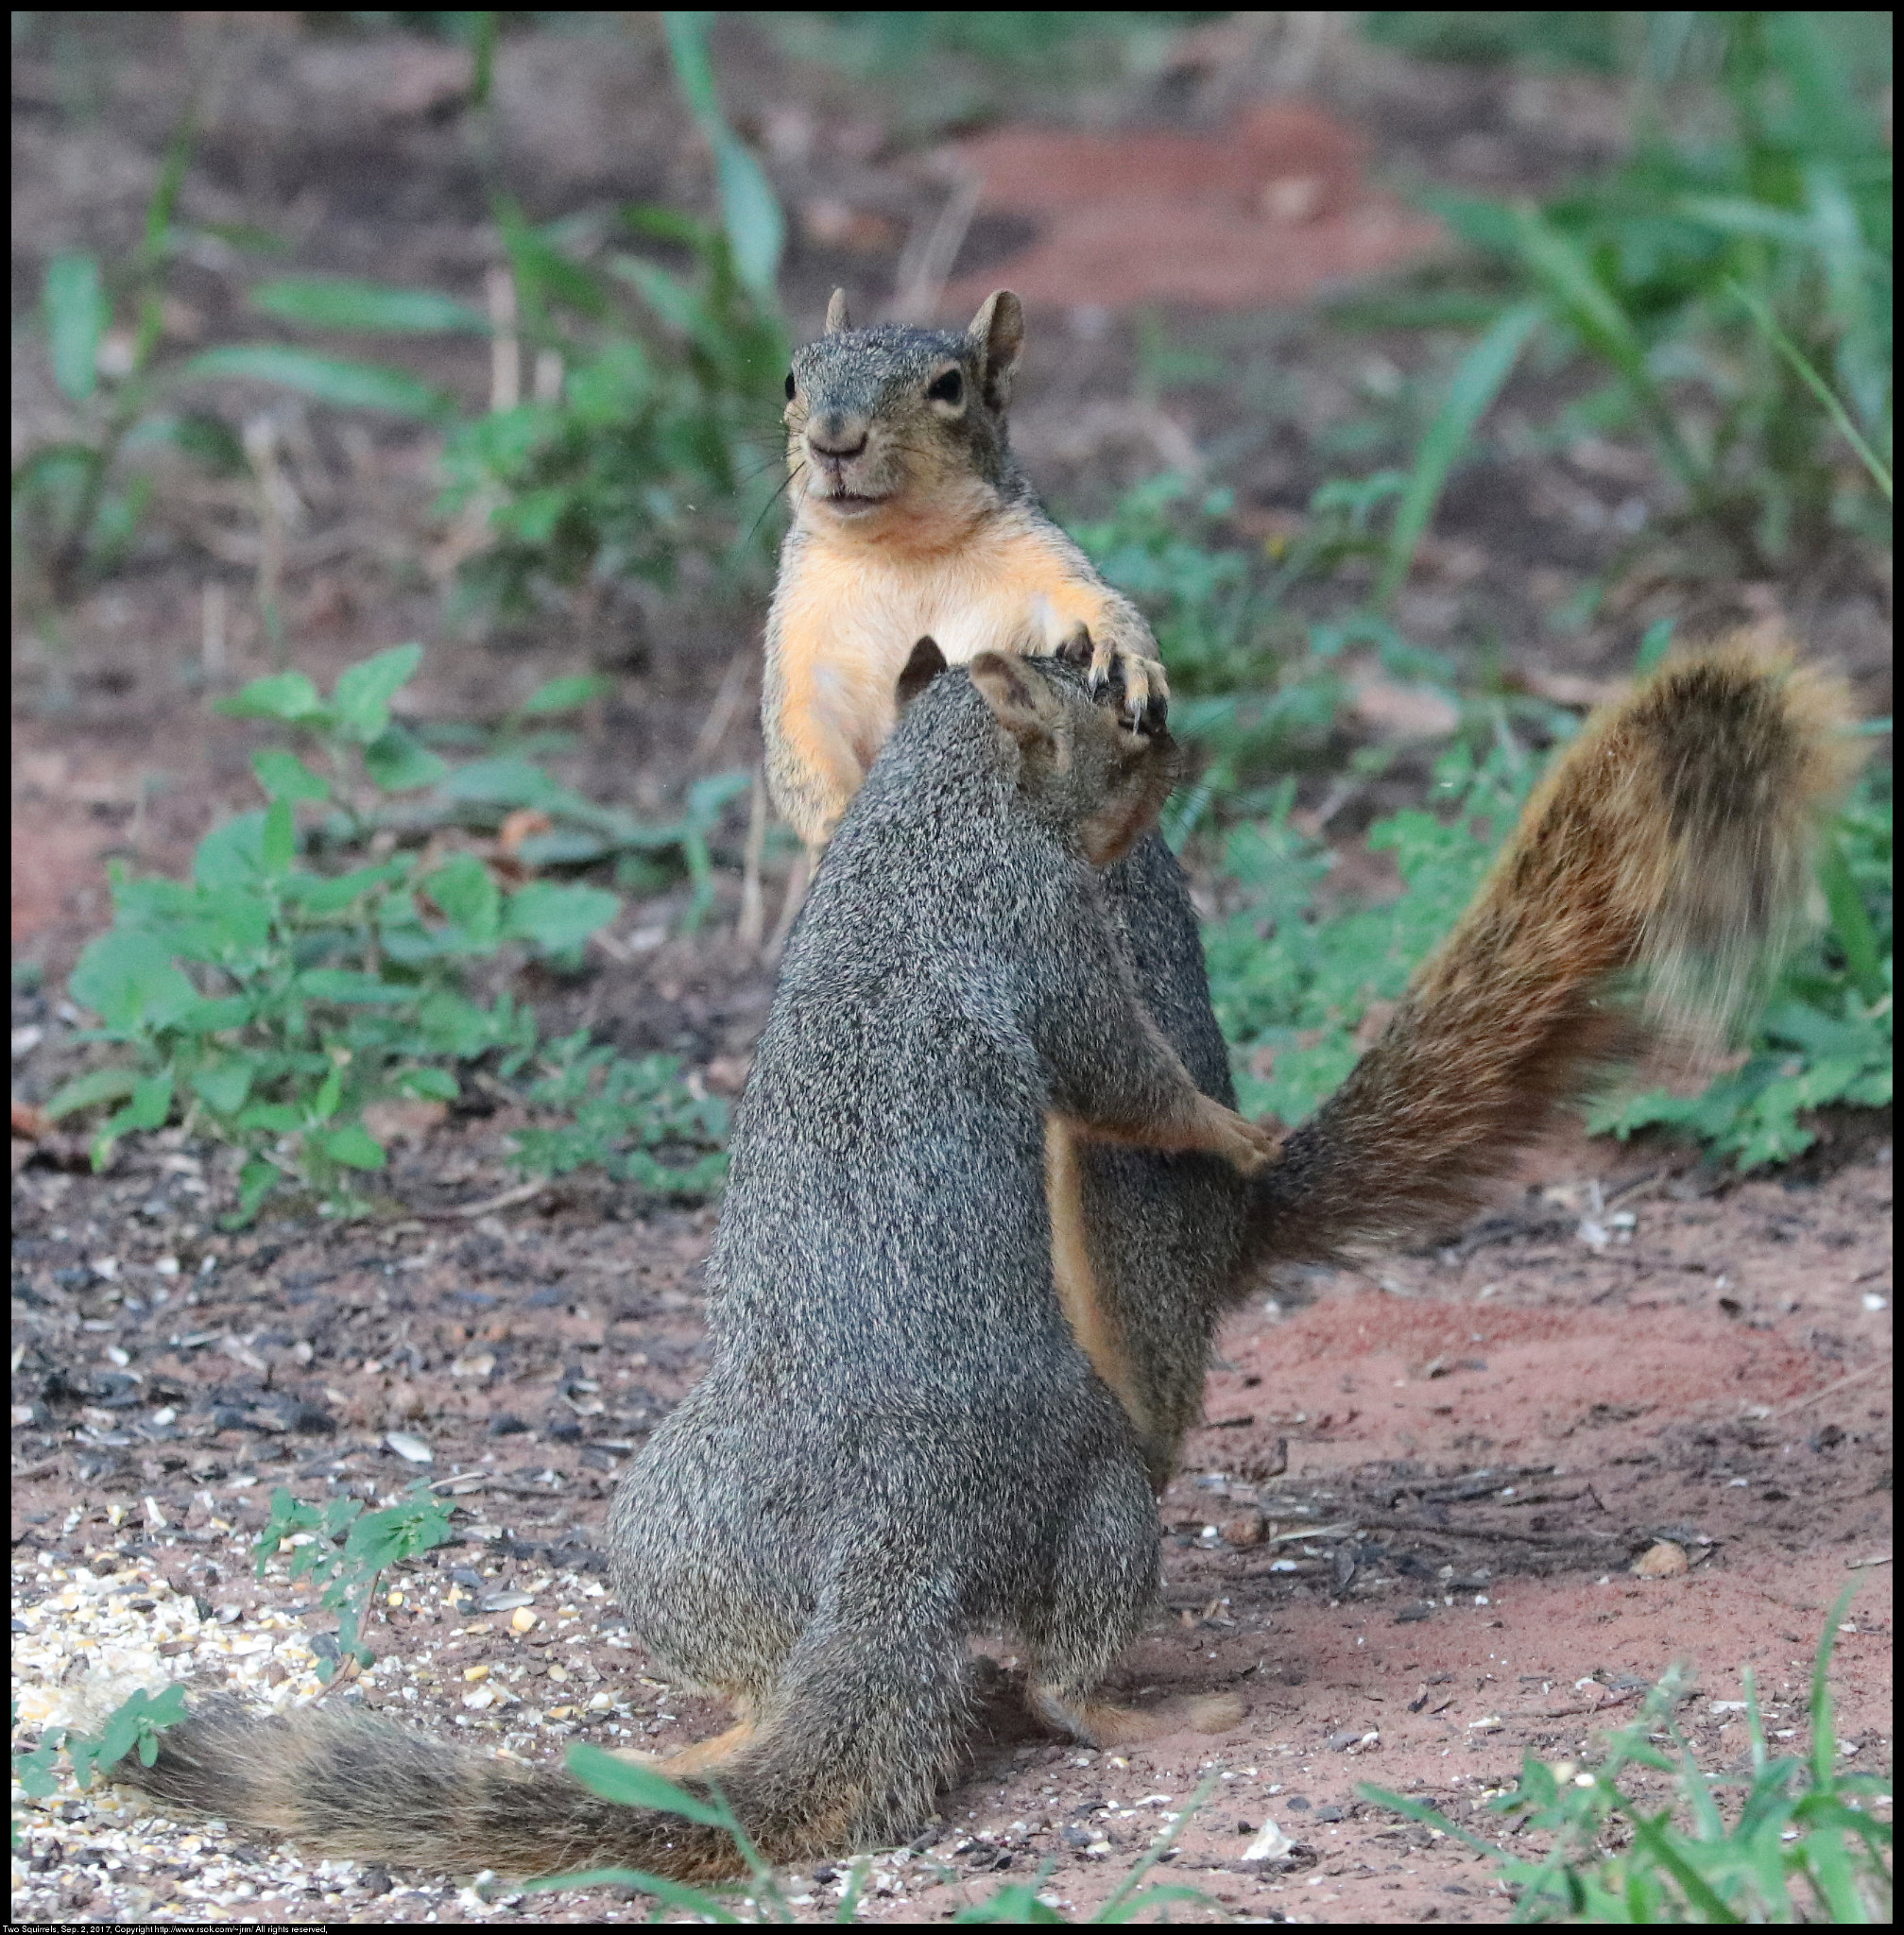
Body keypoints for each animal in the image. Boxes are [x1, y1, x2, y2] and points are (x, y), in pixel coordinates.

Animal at [118, 642, 1277, 1880]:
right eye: (1118, 715)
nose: (1179, 757)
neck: (927, 809)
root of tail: (899, 1538)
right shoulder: (1043, 922)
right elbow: (1120, 1077)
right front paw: (1230, 1128)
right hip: (1095, 1488)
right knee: (1064, 1677)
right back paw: (1144, 1711)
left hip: (674, 1529)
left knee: (760, 1664)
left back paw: (710, 1740)